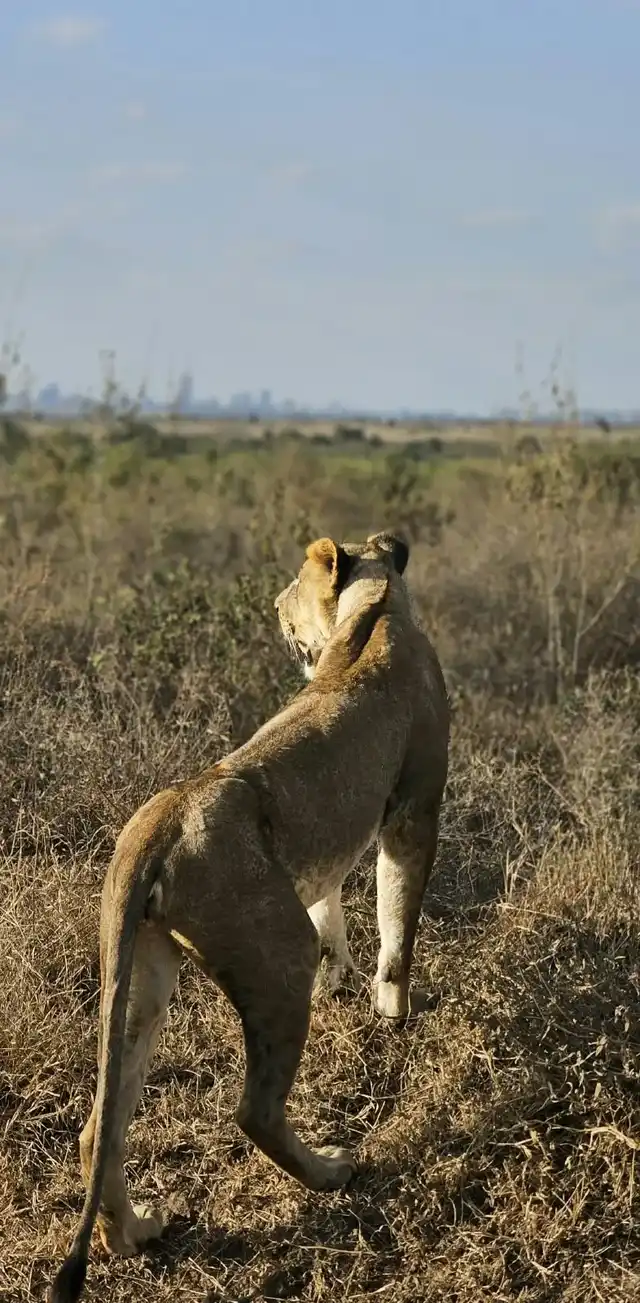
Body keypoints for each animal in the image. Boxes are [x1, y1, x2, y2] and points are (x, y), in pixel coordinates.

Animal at [48, 531, 450, 1303]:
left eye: (288, 597)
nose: (273, 613)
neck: (377, 609)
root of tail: (161, 821)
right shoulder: (414, 808)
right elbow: (398, 919)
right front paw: (395, 1011)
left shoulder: (327, 849)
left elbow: (334, 907)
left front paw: (345, 978)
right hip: (275, 953)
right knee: (255, 1111)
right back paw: (332, 1170)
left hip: (142, 977)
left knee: (99, 1127)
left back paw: (134, 1234)